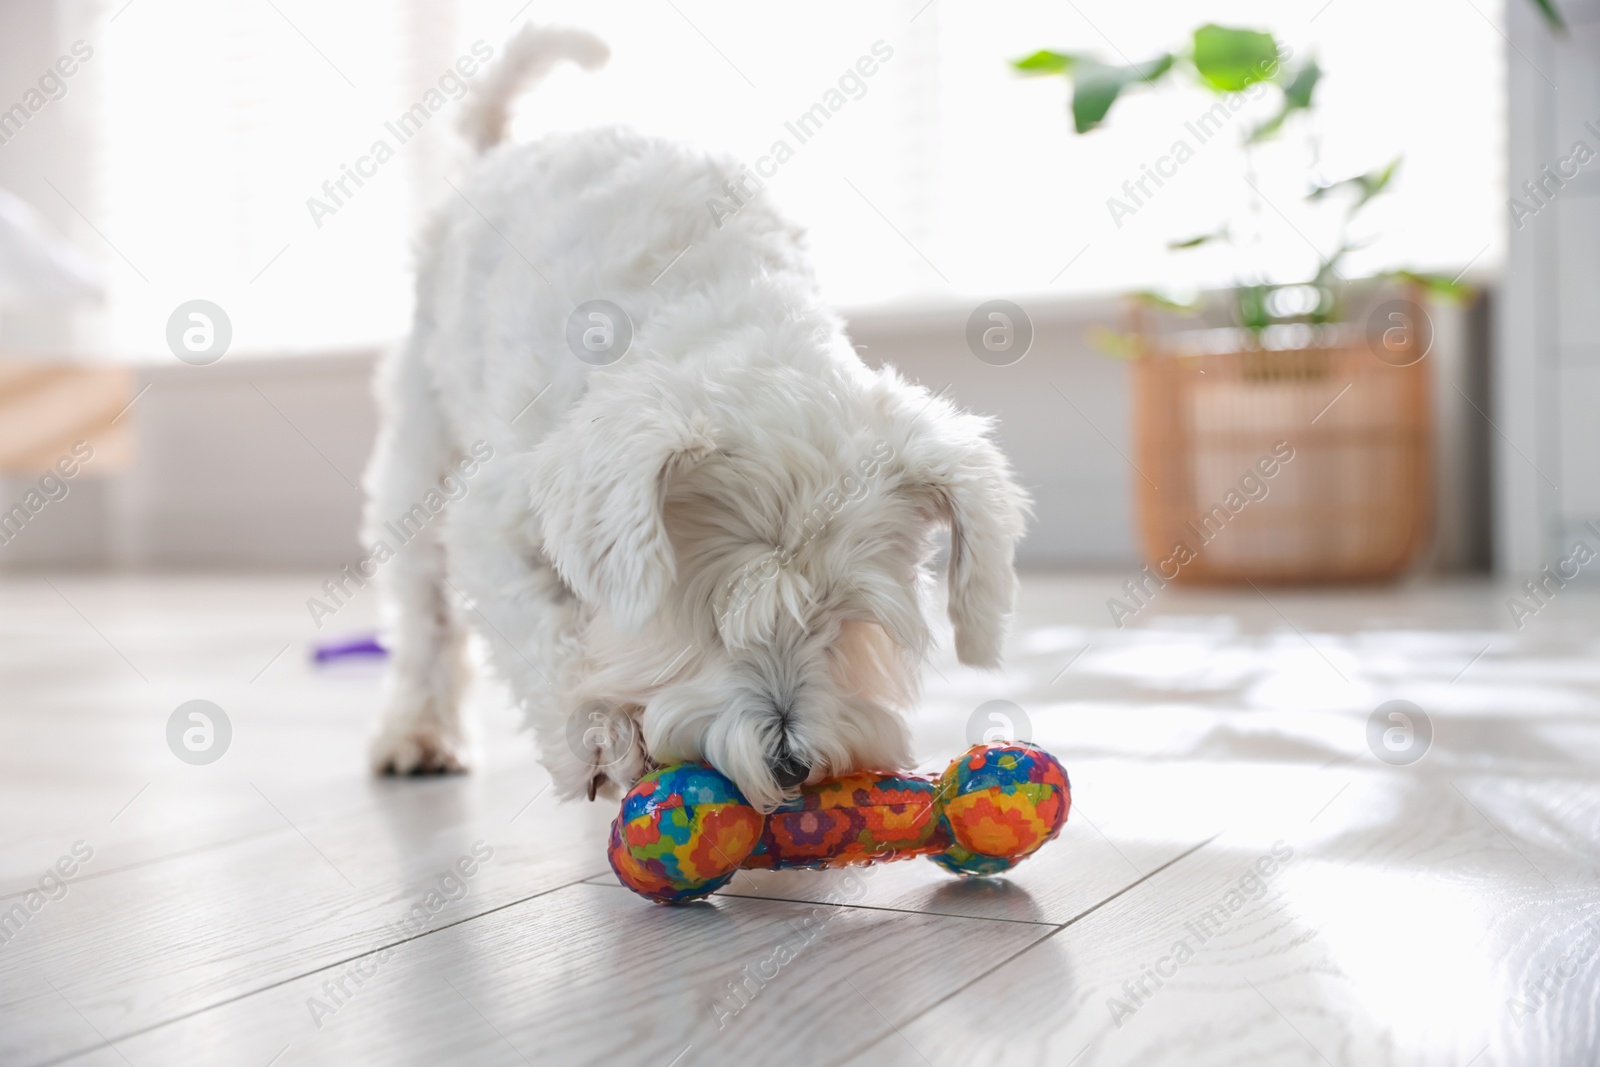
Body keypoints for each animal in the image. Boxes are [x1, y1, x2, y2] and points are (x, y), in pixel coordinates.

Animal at [368, 22, 1030, 809]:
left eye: (843, 620)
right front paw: (599, 727)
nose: (789, 765)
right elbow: (544, 630)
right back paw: (418, 733)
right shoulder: (498, 522)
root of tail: (497, 151)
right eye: (713, 615)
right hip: (419, 451)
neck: (731, 313)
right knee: (424, 609)